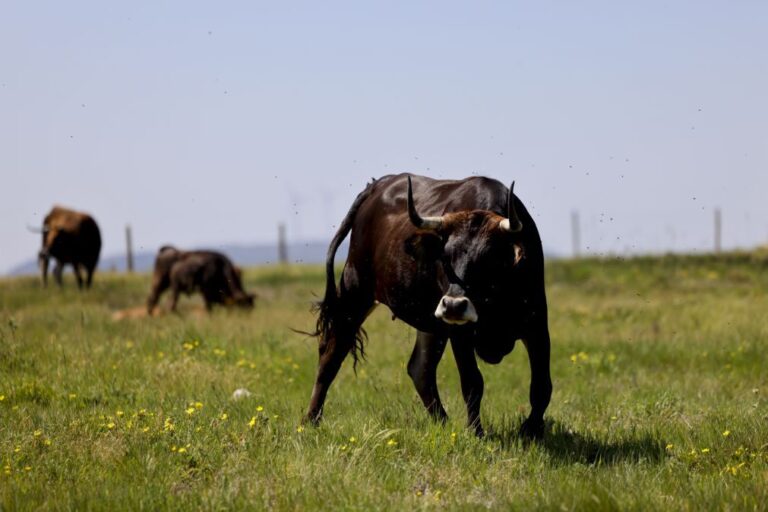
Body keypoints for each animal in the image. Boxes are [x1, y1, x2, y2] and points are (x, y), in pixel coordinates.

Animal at [304, 173, 552, 439]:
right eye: (445, 257)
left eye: (488, 260)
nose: (453, 305)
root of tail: (379, 184)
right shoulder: (460, 332)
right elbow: (472, 382)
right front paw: (476, 433)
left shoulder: (537, 323)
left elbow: (542, 385)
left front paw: (531, 430)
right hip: (355, 289)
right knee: (331, 354)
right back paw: (311, 419)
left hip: (429, 324)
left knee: (419, 369)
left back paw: (443, 422)